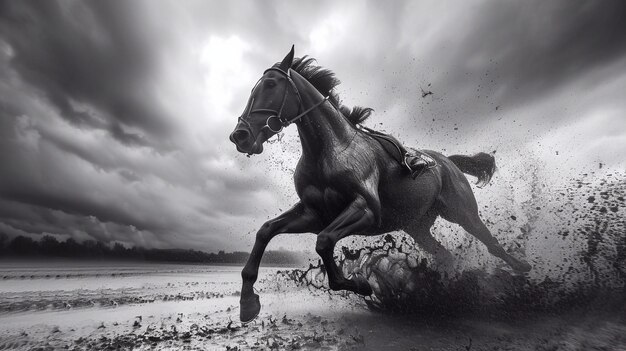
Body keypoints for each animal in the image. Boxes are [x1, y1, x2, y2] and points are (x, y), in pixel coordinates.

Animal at [227, 46, 528, 324]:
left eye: (271, 84)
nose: (240, 135)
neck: (328, 150)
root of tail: (448, 161)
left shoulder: (367, 210)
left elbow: (324, 241)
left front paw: (359, 284)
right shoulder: (314, 214)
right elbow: (267, 231)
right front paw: (248, 303)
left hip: (462, 212)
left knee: (491, 244)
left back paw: (521, 271)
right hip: (418, 226)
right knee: (445, 254)